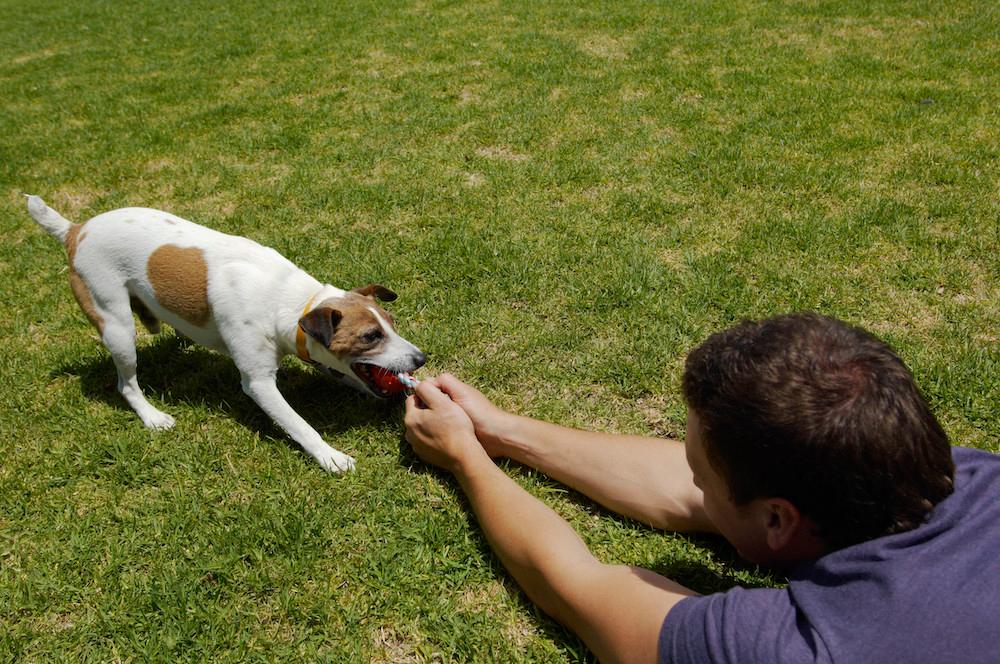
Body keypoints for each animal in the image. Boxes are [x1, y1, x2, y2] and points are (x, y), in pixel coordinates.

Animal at [26, 195, 426, 474]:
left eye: (390, 323)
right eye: (370, 336)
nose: (421, 359)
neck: (287, 299)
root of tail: (75, 229)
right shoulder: (259, 383)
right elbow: (299, 425)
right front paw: (331, 457)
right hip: (116, 326)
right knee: (127, 384)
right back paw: (152, 416)